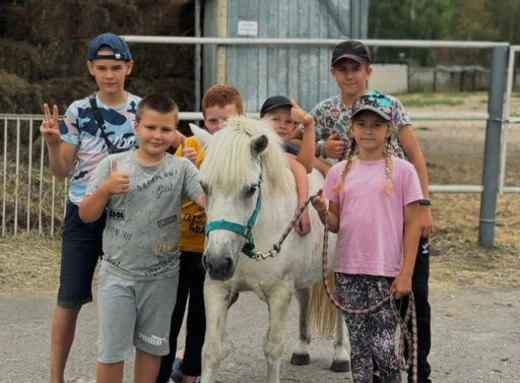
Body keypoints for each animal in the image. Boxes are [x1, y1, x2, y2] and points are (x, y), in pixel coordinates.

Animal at [193, 118, 352, 383]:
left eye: (250, 189)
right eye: (205, 186)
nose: (217, 262)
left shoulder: (279, 292)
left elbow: (273, 348)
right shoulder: (216, 288)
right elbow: (210, 350)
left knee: (340, 304)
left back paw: (341, 354)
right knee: (305, 296)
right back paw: (302, 348)